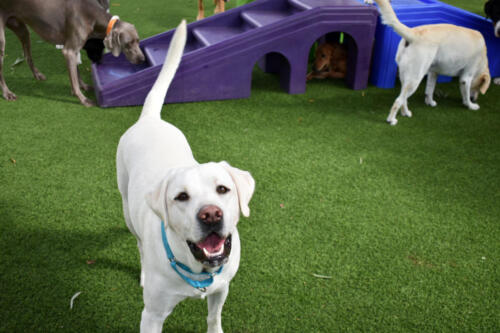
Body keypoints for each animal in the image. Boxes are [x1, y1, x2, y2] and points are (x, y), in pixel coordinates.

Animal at [0, 0, 145, 105]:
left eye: (138, 40)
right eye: (128, 44)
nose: (142, 59)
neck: (91, 14)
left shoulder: (73, 50)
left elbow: (76, 72)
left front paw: (84, 86)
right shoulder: (69, 51)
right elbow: (74, 80)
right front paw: (82, 99)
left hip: (21, 29)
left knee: (27, 55)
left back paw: (37, 75)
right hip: (2, 41)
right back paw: (7, 93)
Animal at [115, 20, 256, 332]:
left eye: (223, 189)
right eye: (181, 197)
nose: (211, 215)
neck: (198, 269)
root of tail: (150, 118)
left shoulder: (221, 288)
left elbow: (214, 317)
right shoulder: (152, 315)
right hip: (127, 206)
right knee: (138, 243)